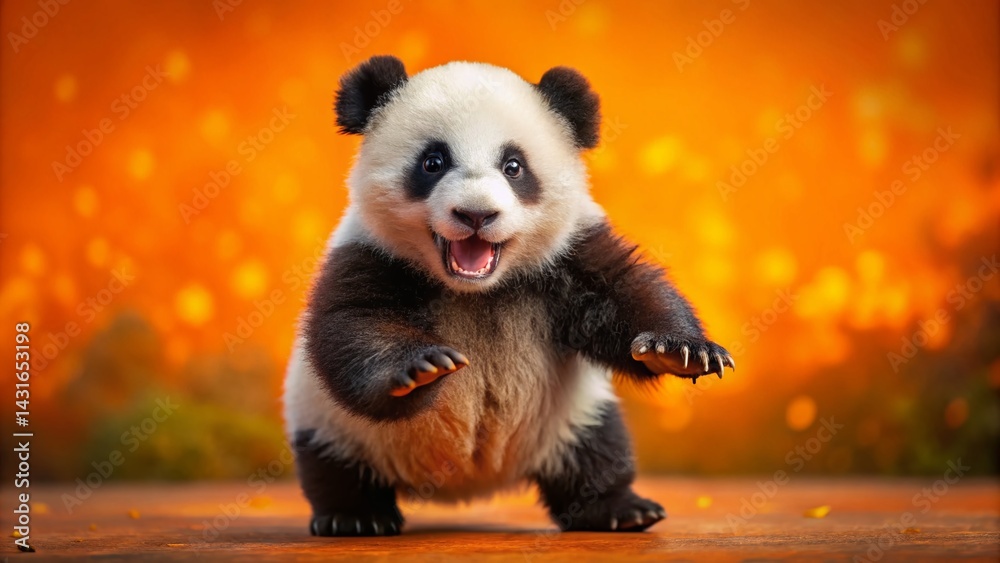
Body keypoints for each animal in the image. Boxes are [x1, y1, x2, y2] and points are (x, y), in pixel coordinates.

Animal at [283, 55, 734, 537]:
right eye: (433, 162)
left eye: (514, 166)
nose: (476, 214)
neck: (476, 291)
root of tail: (472, 481)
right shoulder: (369, 253)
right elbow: (352, 325)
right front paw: (421, 368)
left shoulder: (568, 252)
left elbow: (625, 294)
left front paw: (680, 351)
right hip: (328, 422)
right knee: (332, 466)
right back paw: (355, 516)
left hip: (571, 416)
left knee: (598, 452)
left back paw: (619, 509)